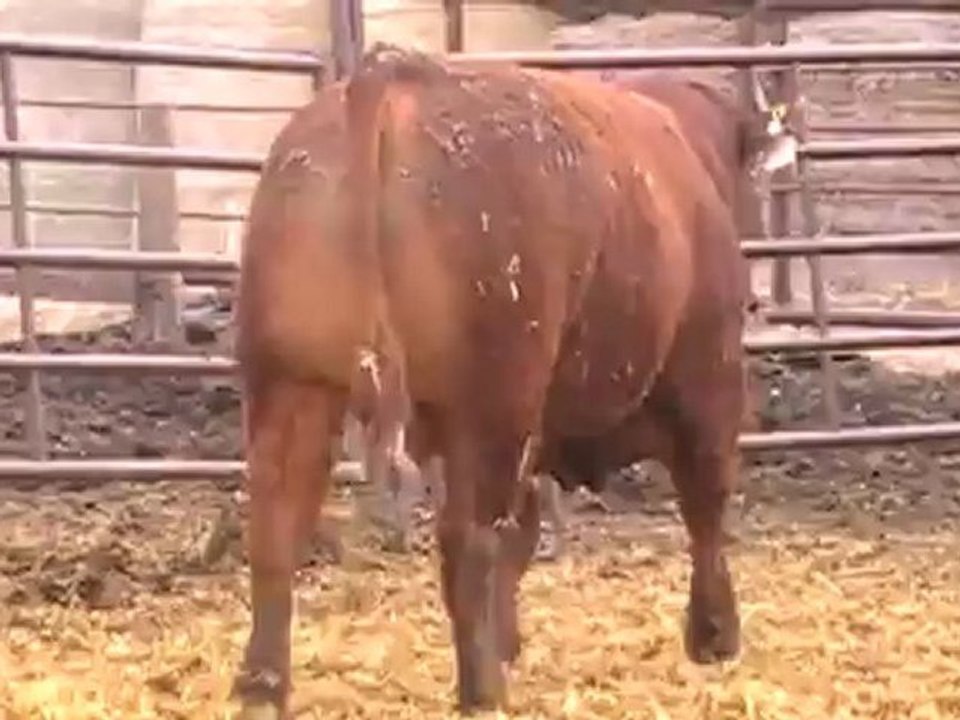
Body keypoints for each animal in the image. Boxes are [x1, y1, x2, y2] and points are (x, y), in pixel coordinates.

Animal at [231, 44, 795, 718]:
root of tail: (393, 73)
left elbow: (523, 536)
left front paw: (507, 639)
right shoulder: (708, 382)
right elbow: (706, 506)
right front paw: (713, 635)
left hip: (291, 386)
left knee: (275, 528)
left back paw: (263, 684)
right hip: (490, 407)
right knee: (468, 540)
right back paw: (482, 689)